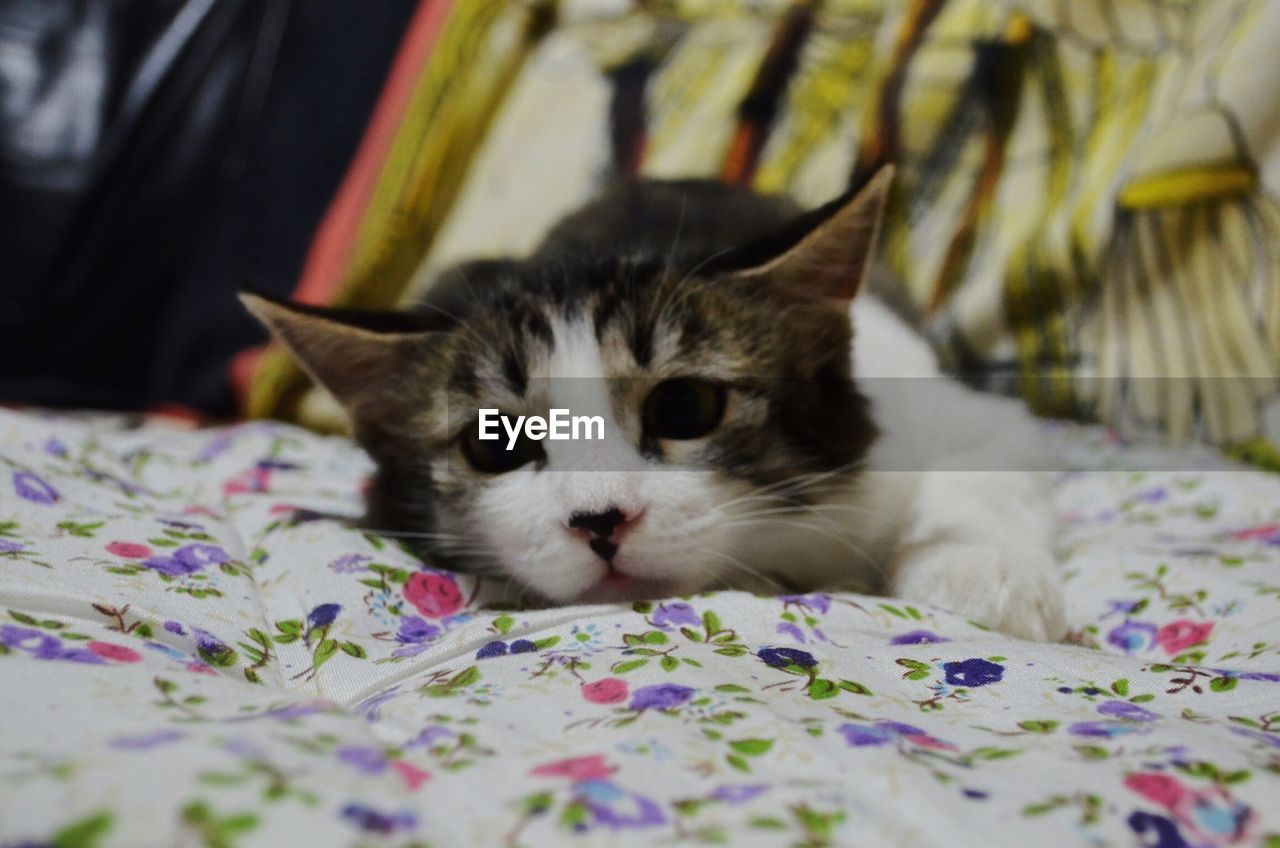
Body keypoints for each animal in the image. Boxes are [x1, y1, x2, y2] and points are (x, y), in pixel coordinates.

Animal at [244, 169, 1064, 640]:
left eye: (685, 410)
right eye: (495, 444)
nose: (601, 520)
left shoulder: (954, 412)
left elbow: (982, 466)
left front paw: (982, 575)